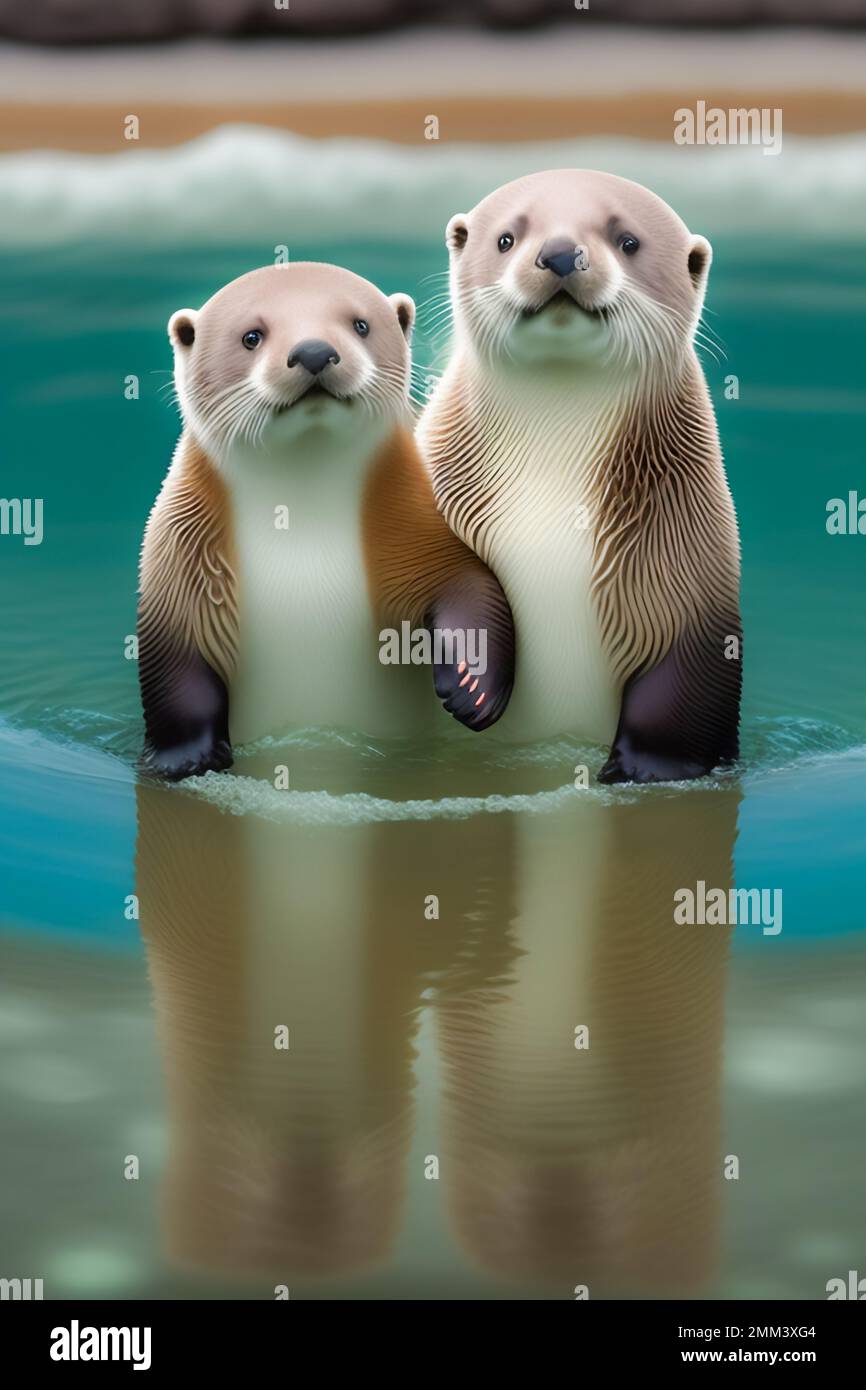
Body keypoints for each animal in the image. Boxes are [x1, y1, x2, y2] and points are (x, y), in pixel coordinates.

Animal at [139, 263, 514, 779]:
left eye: (360, 325)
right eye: (251, 336)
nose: (314, 351)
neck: (301, 531)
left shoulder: (414, 529)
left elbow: (469, 582)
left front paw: (472, 686)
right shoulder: (179, 559)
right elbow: (173, 667)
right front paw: (185, 757)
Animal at [417, 169, 742, 784]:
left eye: (628, 240)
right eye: (506, 238)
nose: (562, 253)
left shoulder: (694, 579)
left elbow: (682, 688)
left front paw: (643, 770)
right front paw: (473, 680)